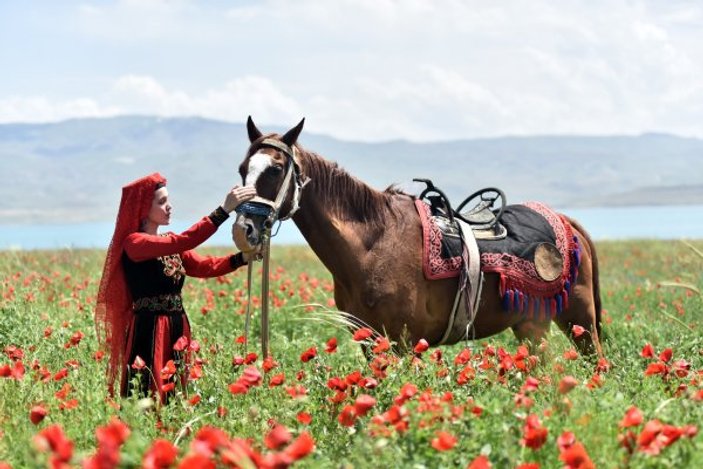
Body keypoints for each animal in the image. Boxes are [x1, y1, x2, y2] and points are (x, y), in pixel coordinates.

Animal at [232, 118, 604, 358]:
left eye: (276, 169)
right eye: (242, 169)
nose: (243, 229)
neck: (371, 244)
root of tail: (567, 223)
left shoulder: (405, 342)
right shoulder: (370, 342)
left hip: (577, 319)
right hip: (531, 324)